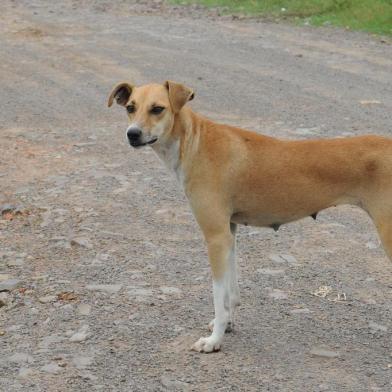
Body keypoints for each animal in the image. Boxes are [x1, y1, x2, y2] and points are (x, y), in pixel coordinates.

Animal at [108, 81, 392, 354]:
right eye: (130, 107)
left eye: (158, 109)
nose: (132, 133)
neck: (194, 142)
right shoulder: (229, 232)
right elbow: (230, 293)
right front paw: (227, 323)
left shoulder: (216, 237)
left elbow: (217, 294)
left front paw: (214, 341)